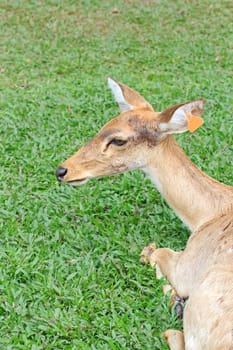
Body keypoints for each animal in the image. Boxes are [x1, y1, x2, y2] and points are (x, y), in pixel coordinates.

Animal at [56, 78, 233, 348]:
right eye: (103, 126)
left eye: (118, 140)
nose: (62, 170)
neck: (207, 216)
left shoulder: (188, 266)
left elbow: (158, 252)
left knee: (173, 333)